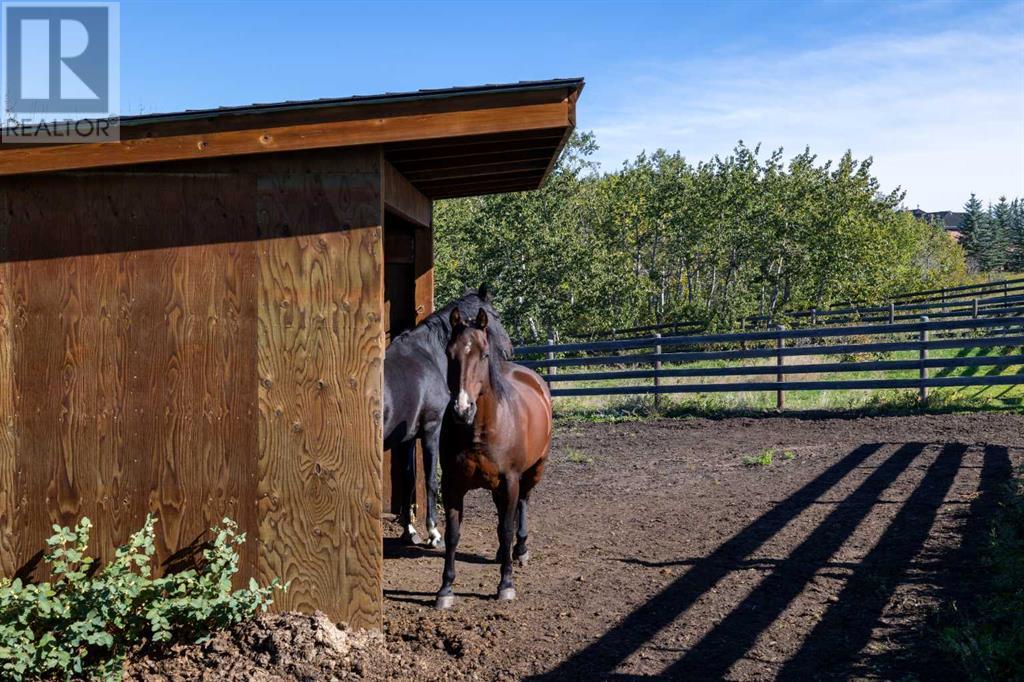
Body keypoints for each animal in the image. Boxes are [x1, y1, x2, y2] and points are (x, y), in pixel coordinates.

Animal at [438, 307, 557, 606]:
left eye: (483, 354)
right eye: (449, 353)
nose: (462, 410)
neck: (478, 431)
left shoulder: (510, 480)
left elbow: (505, 528)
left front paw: (506, 584)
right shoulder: (452, 485)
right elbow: (452, 535)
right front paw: (445, 589)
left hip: (534, 470)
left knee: (522, 504)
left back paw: (520, 549)